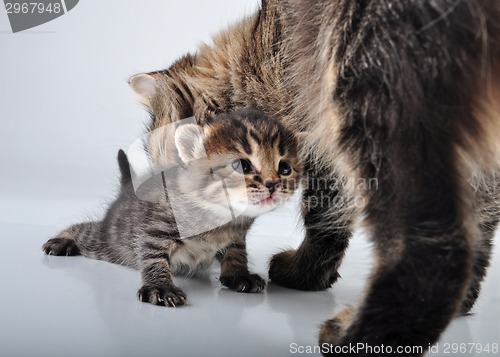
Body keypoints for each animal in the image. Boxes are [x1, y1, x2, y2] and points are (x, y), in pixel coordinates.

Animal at [42, 109, 300, 306]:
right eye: (241, 165)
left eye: (285, 168)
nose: (273, 184)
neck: (221, 218)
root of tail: (126, 190)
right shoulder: (155, 228)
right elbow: (153, 256)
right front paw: (160, 287)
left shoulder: (236, 236)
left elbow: (237, 252)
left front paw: (239, 275)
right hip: (111, 241)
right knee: (86, 229)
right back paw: (62, 240)